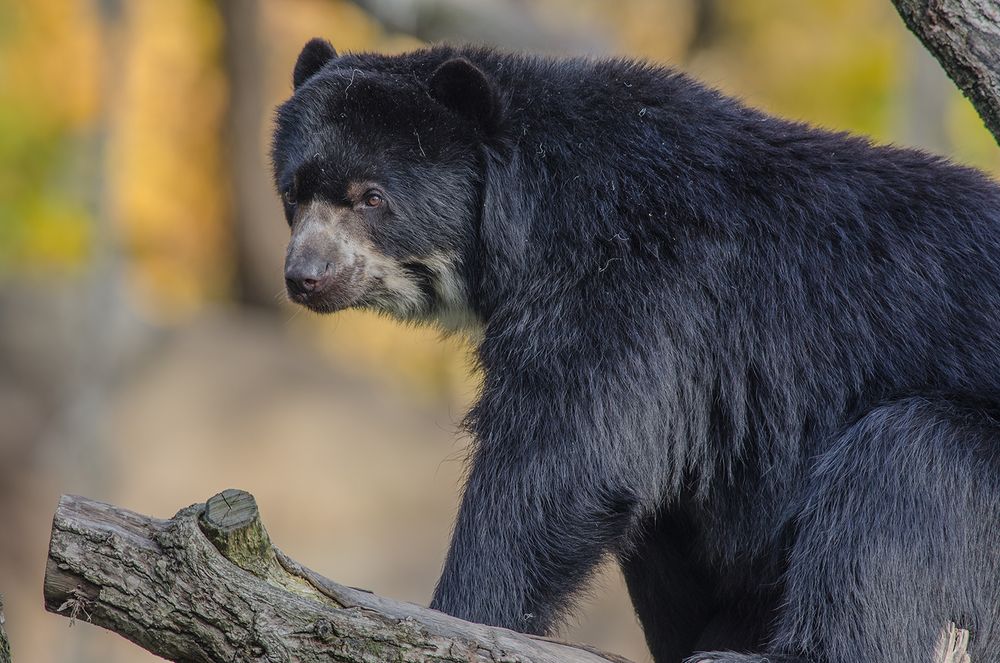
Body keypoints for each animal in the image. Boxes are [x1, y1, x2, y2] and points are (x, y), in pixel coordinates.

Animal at [270, 37, 1000, 663]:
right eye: (294, 193)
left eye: (371, 197)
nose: (305, 275)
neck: (530, 209)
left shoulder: (635, 275)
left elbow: (563, 460)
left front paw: (459, 614)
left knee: (905, 467)